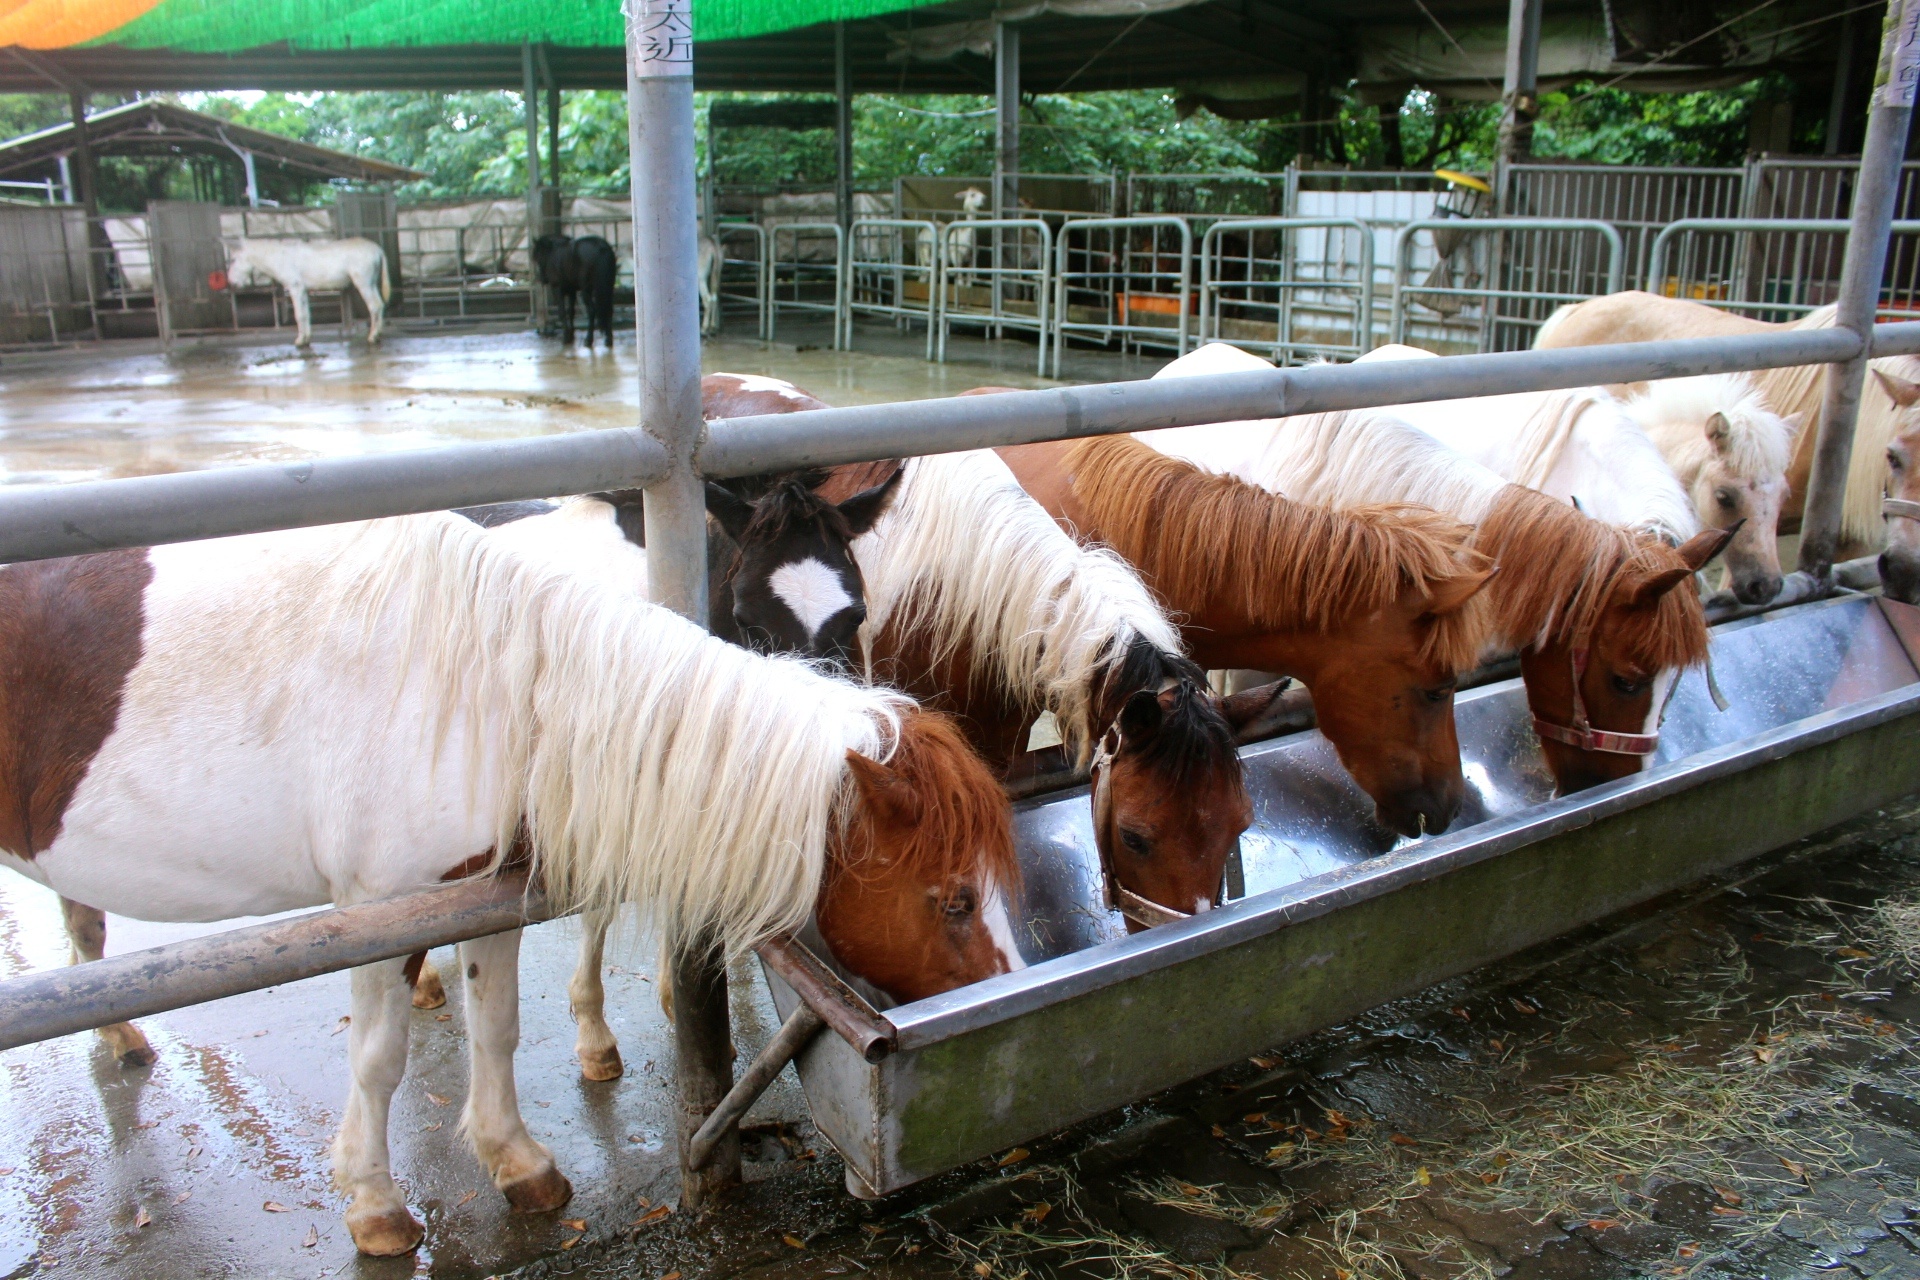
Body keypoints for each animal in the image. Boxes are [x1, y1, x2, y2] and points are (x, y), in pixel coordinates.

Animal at [224, 237, 389, 347]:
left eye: (233, 260)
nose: (232, 283)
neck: (280, 258)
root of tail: (378, 249)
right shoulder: (303, 290)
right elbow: (306, 314)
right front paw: (306, 338)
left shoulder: (295, 287)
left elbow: (299, 315)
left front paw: (300, 341)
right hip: (371, 283)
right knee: (380, 305)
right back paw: (379, 333)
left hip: (364, 283)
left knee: (374, 306)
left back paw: (373, 337)